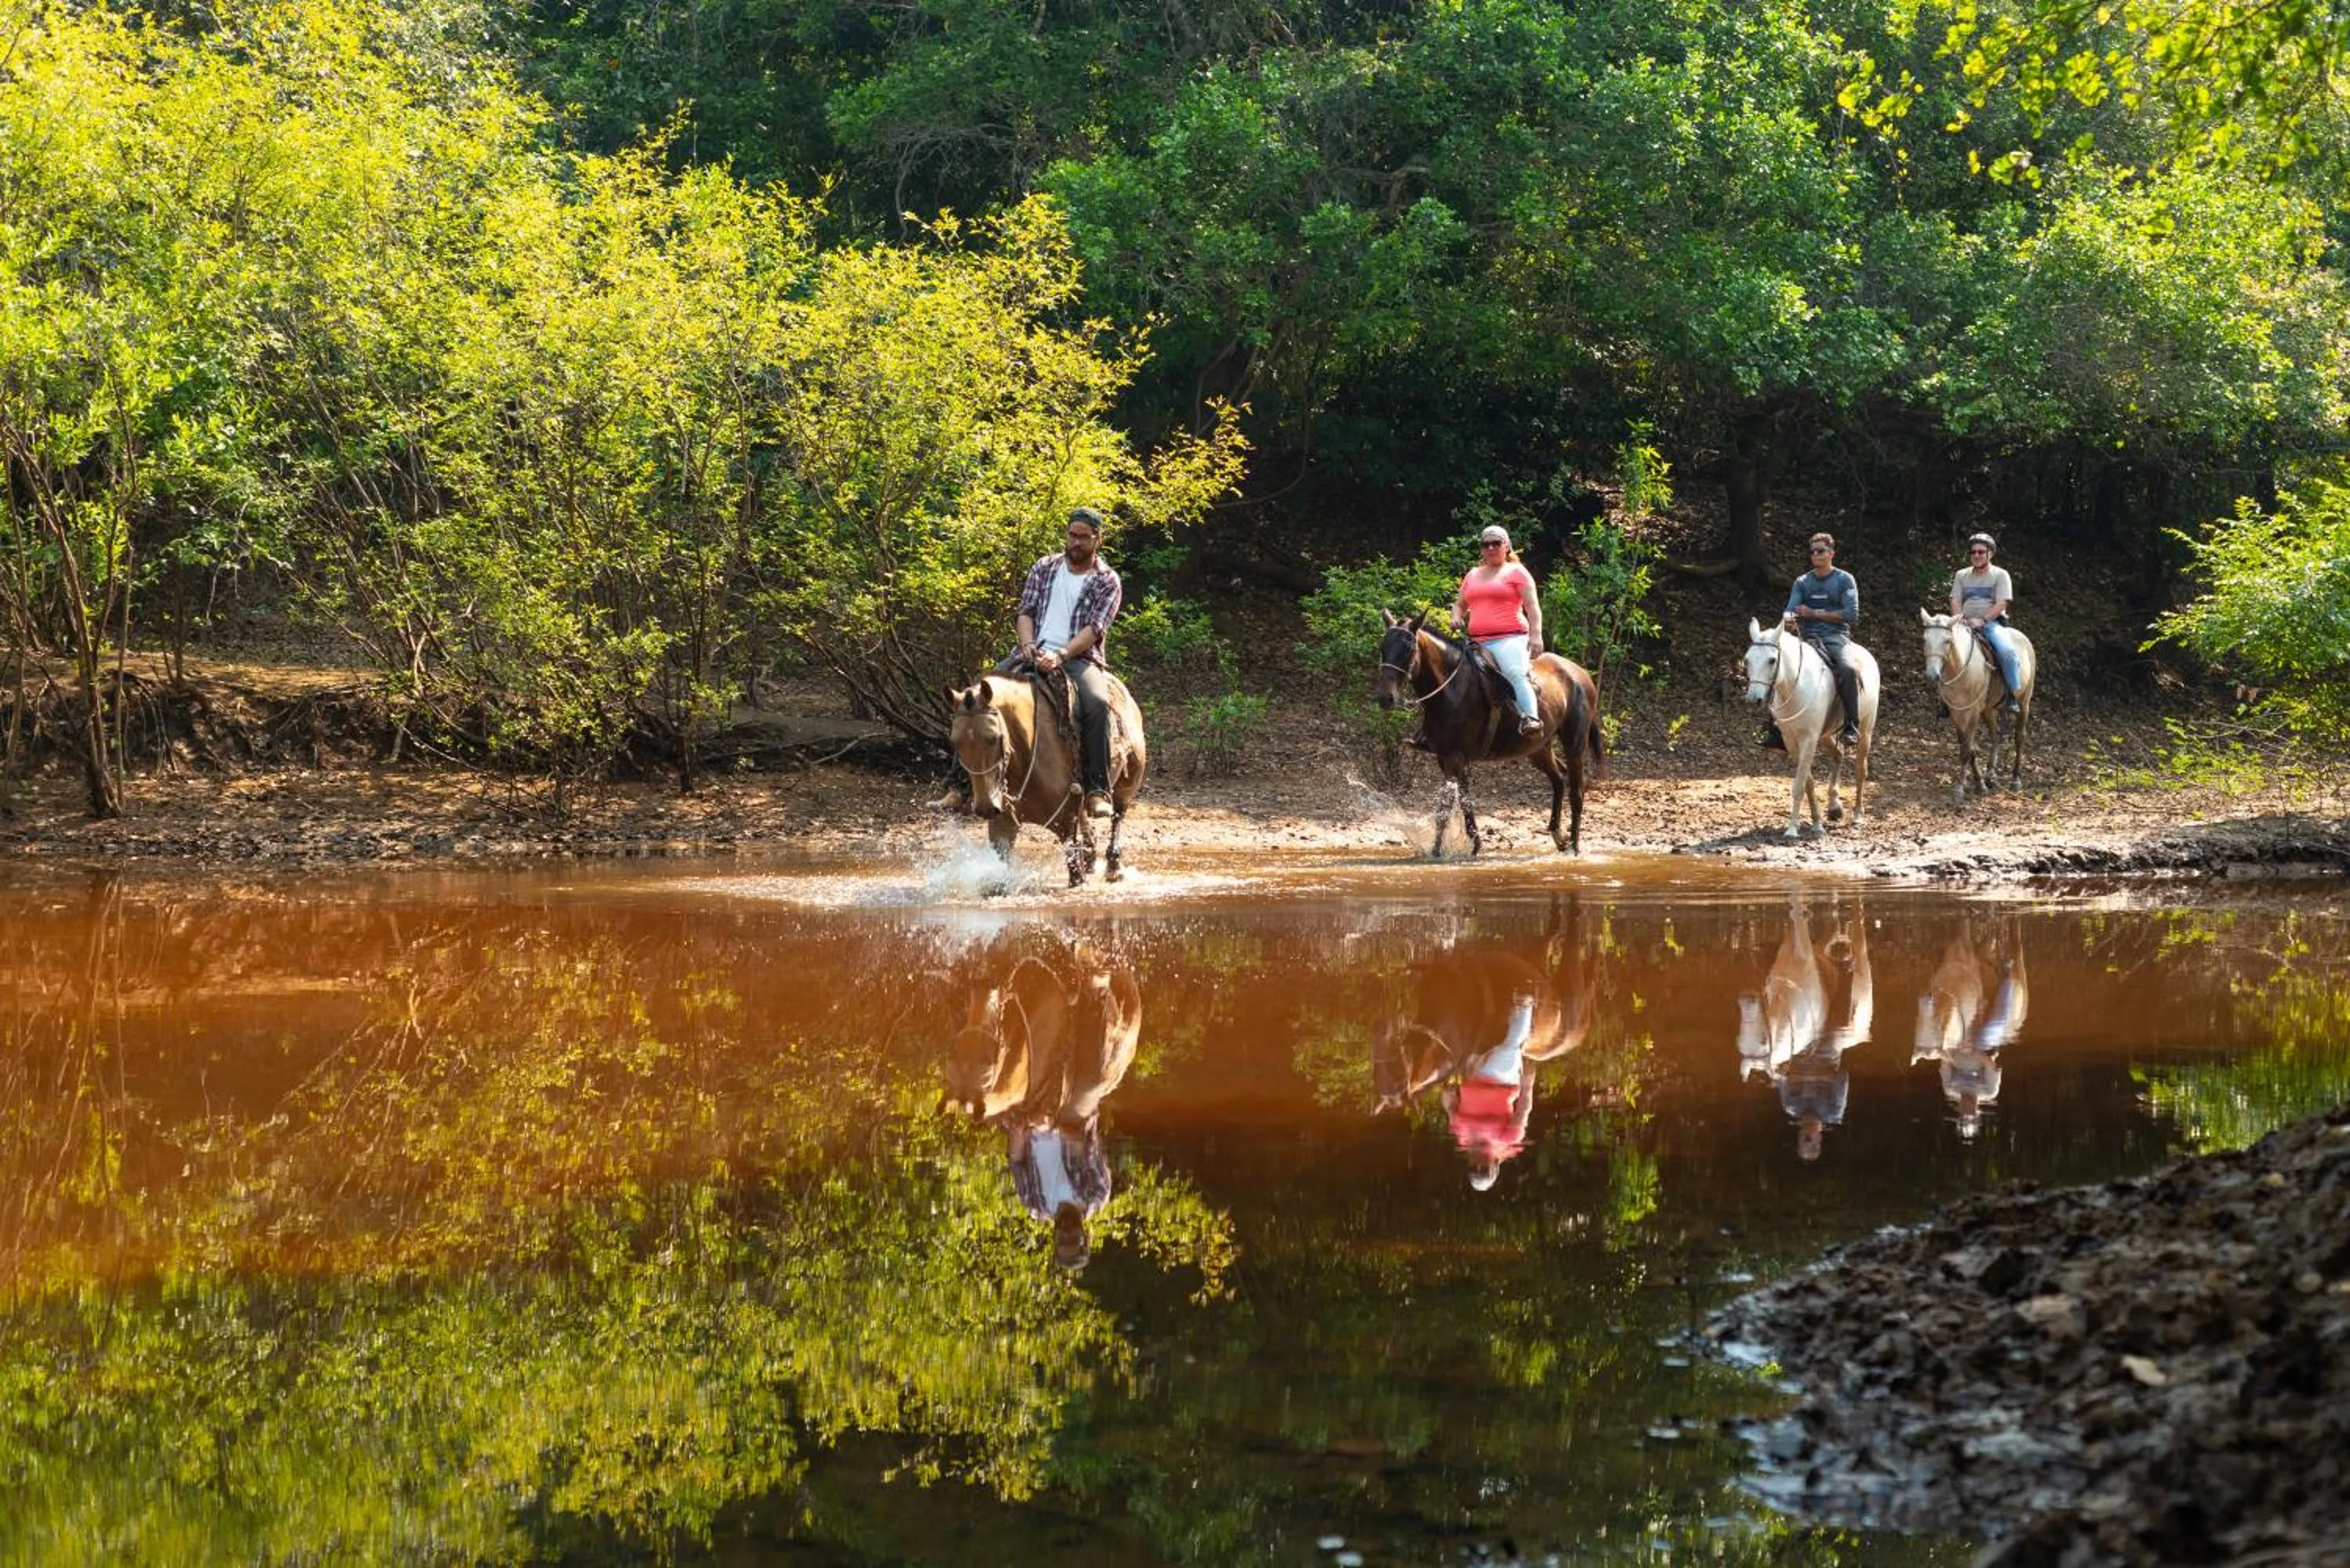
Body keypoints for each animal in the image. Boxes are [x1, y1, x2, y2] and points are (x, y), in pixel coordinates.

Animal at [945, 672, 1147, 888]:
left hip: (1126, 788)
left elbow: (1075, 867)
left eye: (994, 737)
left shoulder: (1066, 824)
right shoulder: (1003, 825)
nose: (985, 808)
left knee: (1117, 818)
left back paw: (1113, 867)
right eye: (955, 742)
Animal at [1374, 609, 1603, 857]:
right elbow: (1459, 801)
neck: (1450, 689)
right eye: (1382, 647)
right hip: (1538, 747)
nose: (1386, 698)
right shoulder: (1445, 758)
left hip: (1575, 744)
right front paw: (1469, 845)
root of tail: (1581, 674)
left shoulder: (1454, 758)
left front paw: (1441, 851)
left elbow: (1449, 805)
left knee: (1576, 792)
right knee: (1558, 778)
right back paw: (1558, 836)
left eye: (1408, 649)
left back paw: (1574, 846)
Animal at [1742, 617, 1879, 839]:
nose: (1754, 699)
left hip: (1866, 730)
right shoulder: (1792, 741)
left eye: (1772, 660)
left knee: (1861, 770)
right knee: (1839, 755)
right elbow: (1807, 782)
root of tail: (1866, 654)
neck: (1794, 685)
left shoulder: (1809, 739)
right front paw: (1816, 822)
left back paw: (1858, 815)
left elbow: (1799, 785)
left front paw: (1792, 830)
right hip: (1825, 735)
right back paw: (1834, 806)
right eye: (1747, 660)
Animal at [1919, 611, 2036, 801]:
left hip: (2024, 702)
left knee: (2019, 738)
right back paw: (1991, 775)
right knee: (1996, 735)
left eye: (1947, 641)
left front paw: (1961, 787)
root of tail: (2023, 638)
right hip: (1988, 710)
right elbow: (1968, 747)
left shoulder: (1973, 713)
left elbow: (1967, 749)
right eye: (1925, 639)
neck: (1960, 669)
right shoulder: (1957, 713)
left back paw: (2016, 779)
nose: (1932, 674)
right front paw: (1980, 783)